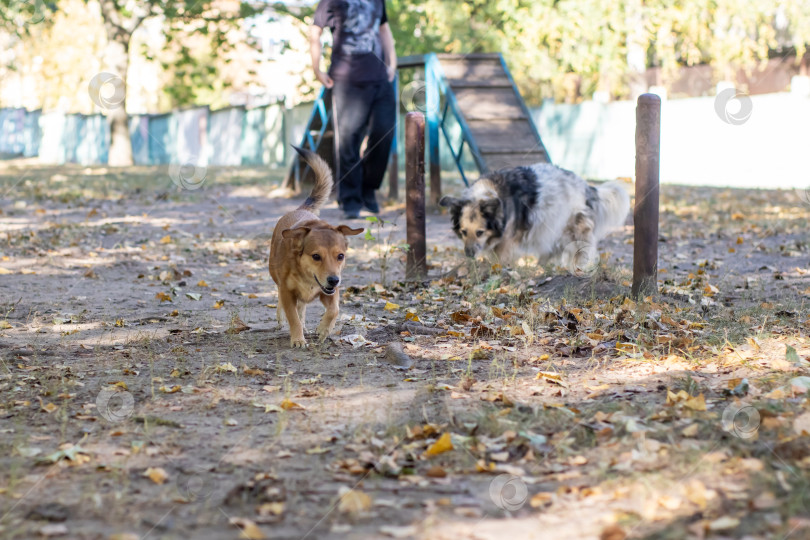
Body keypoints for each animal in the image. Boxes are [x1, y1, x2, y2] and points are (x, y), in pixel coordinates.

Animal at [268, 148, 362, 348]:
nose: (334, 280)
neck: (306, 277)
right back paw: (282, 319)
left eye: (340, 256)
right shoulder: (287, 292)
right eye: (316, 256)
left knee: (302, 307)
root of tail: (301, 209)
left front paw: (323, 330)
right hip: (275, 275)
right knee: (282, 299)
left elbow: (334, 310)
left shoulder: (329, 293)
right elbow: (292, 316)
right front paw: (297, 339)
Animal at [438, 161, 628, 272]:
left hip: (573, 229)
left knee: (580, 251)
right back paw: (540, 269)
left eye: (479, 232)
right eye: (463, 232)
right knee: (552, 251)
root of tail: (586, 186)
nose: (469, 254)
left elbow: (501, 260)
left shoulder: (506, 243)